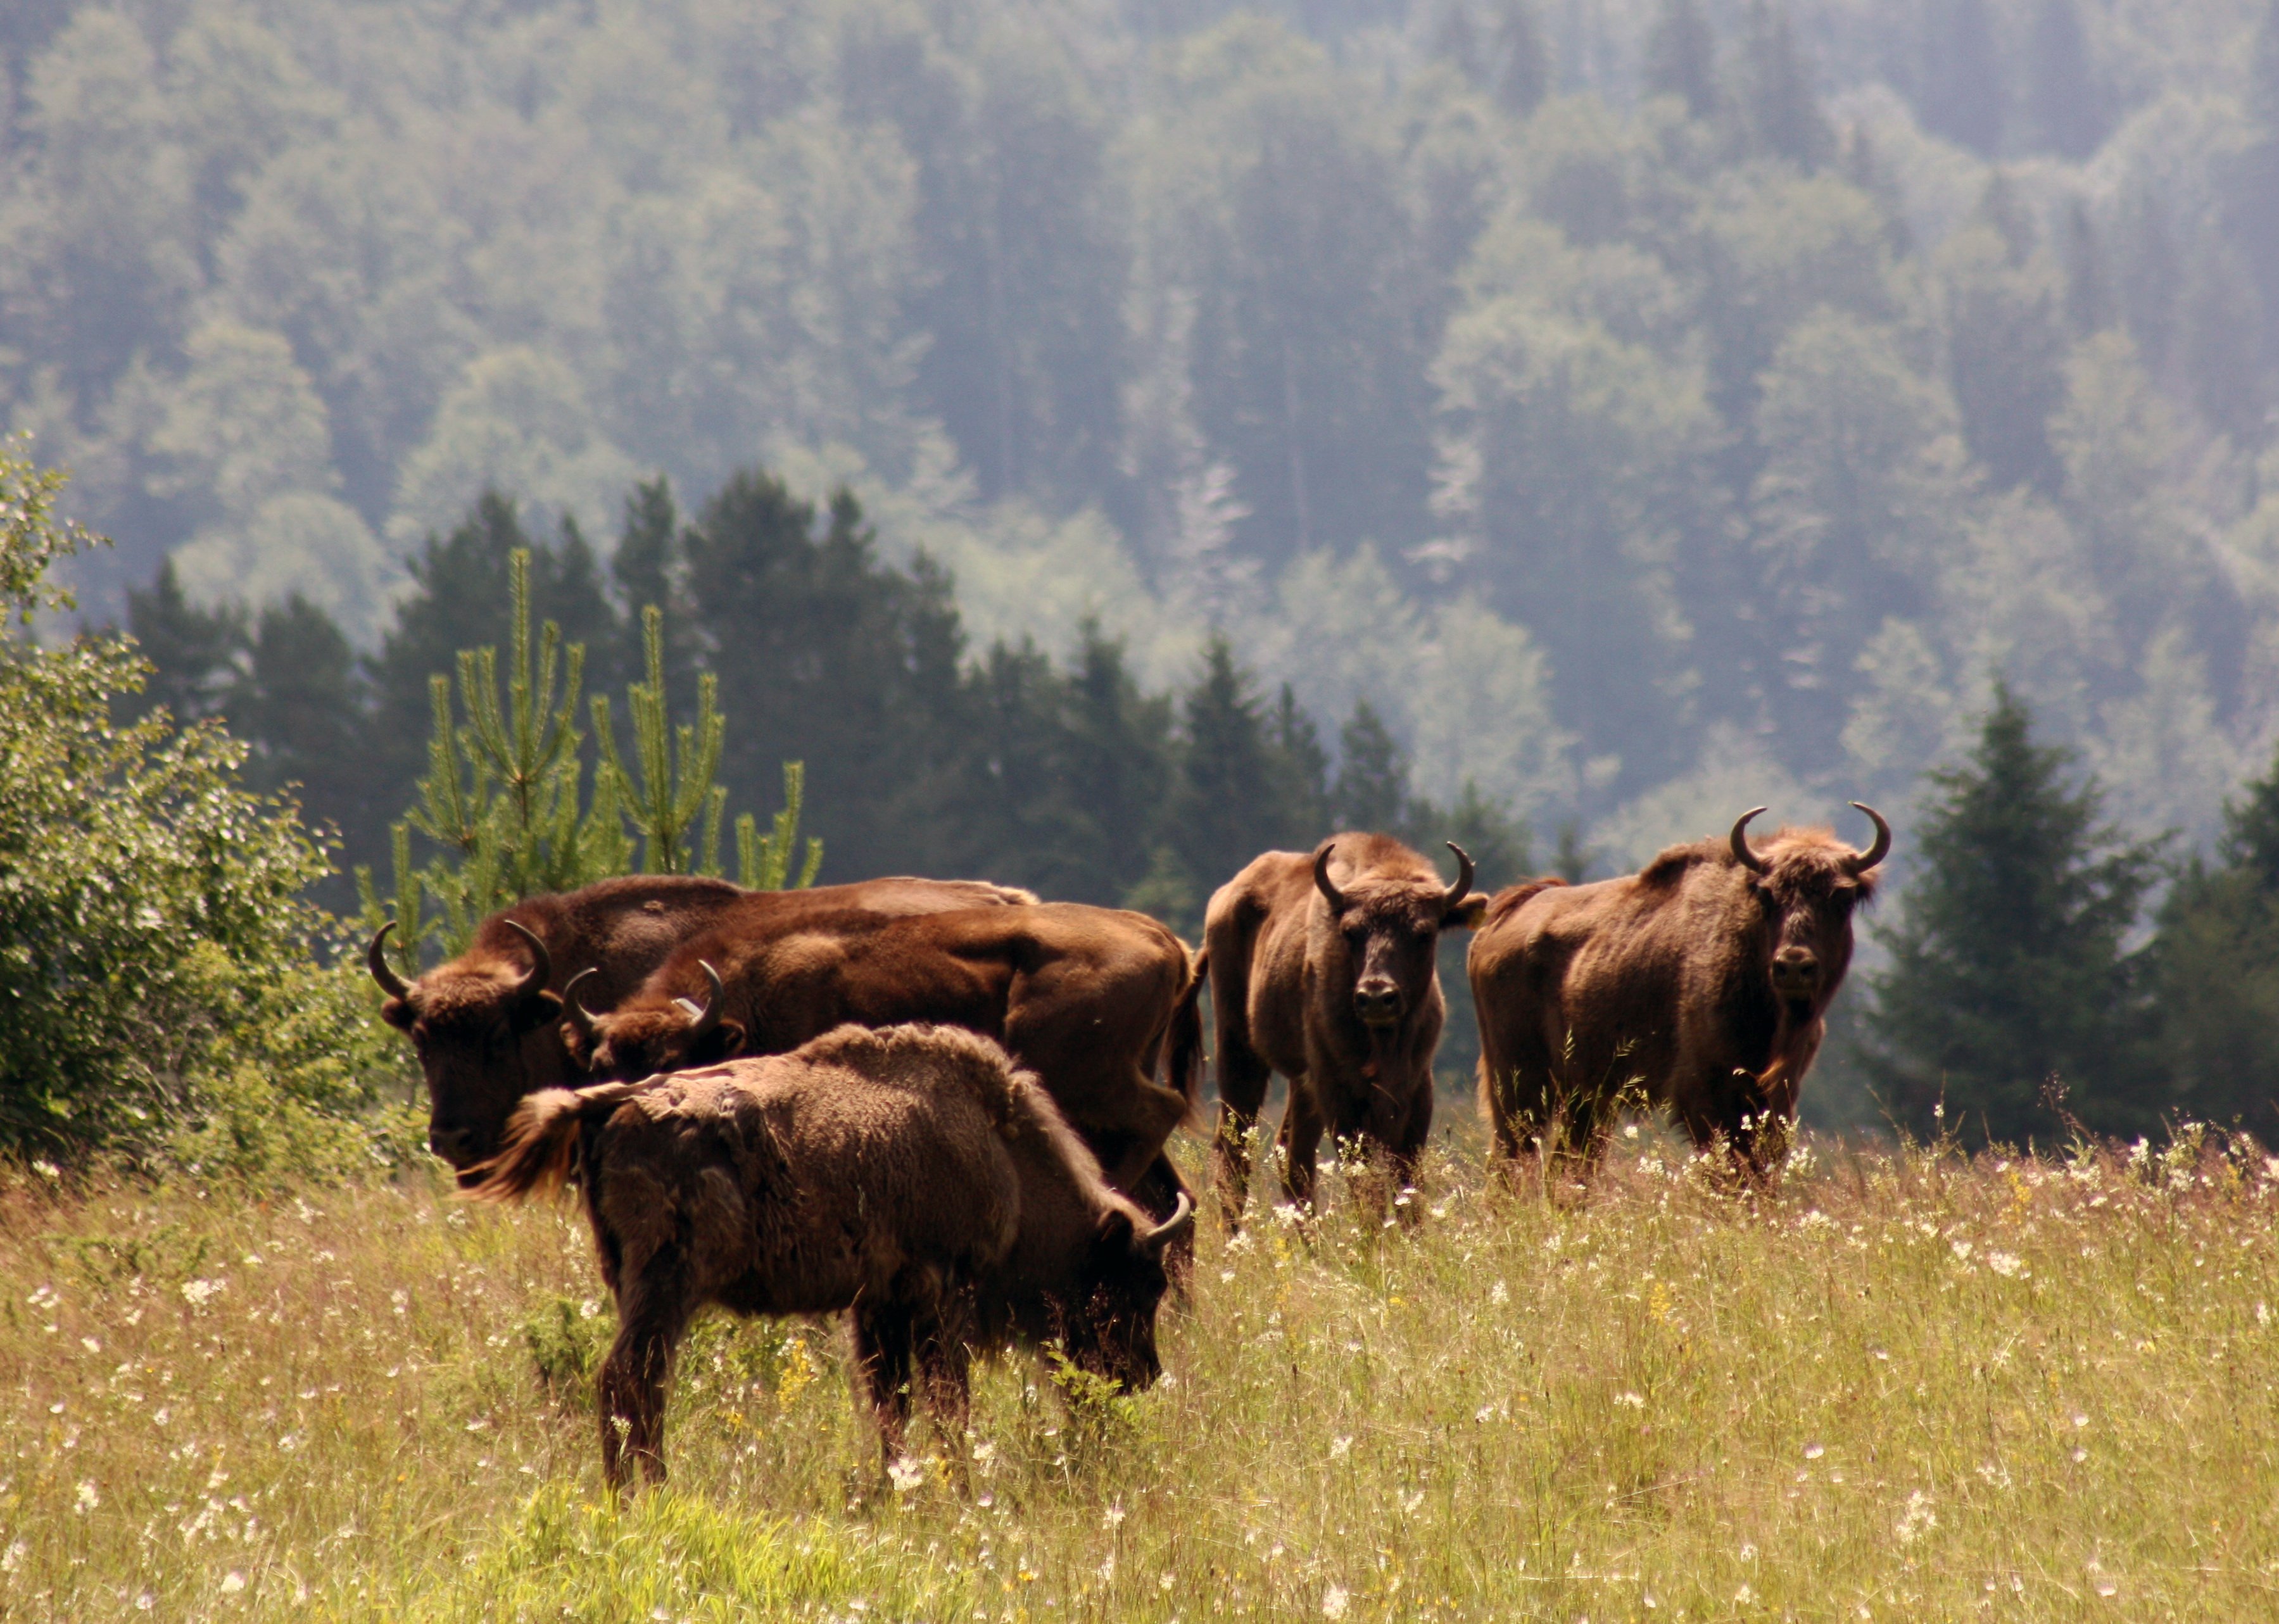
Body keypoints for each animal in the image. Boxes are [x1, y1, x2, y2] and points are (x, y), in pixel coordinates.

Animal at [474, 1020, 1203, 1485]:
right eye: (1136, 1285)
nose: (1143, 1373)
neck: (1001, 1155)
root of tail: (615, 1105)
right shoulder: (943, 1296)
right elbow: (947, 1404)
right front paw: (958, 1485)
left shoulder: (879, 1305)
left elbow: (892, 1404)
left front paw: (898, 1485)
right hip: (667, 1285)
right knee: (632, 1380)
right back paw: (647, 1491)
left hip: (634, 1285)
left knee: (634, 1384)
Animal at [1203, 838, 1486, 1221]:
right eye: (1351, 933)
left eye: (1424, 933)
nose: (1377, 997)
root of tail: (1226, 895)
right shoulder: (1339, 1092)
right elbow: (1364, 1183)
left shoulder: (1415, 1089)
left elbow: (1407, 1181)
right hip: (1239, 1053)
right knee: (1234, 1151)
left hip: (1300, 1084)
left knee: (1291, 1156)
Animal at [1467, 802, 1896, 1175]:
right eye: (1768, 895)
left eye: (1843, 896)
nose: (1793, 966)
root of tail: (1501, 918)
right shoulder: (1704, 1095)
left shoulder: (1776, 1097)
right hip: (1519, 1086)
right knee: (1511, 1158)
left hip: (1586, 1100)